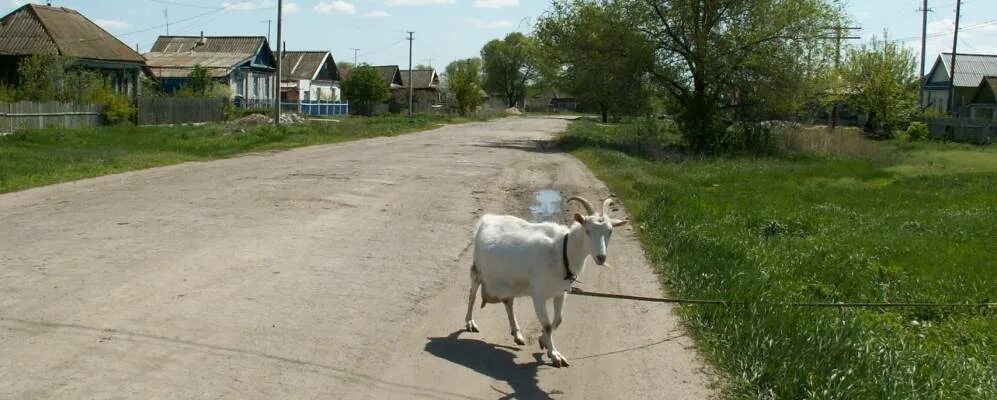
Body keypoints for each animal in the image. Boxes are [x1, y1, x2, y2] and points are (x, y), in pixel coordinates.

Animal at [462, 195, 628, 368]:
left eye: (610, 231)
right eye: (588, 230)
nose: (601, 257)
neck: (562, 251)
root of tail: (487, 219)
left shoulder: (561, 292)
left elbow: (558, 320)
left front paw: (543, 341)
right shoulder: (538, 295)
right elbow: (547, 325)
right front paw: (555, 355)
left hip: (509, 281)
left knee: (508, 303)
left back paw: (517, 334)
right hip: (477, 270)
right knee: (472, 295)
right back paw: (470, 323)